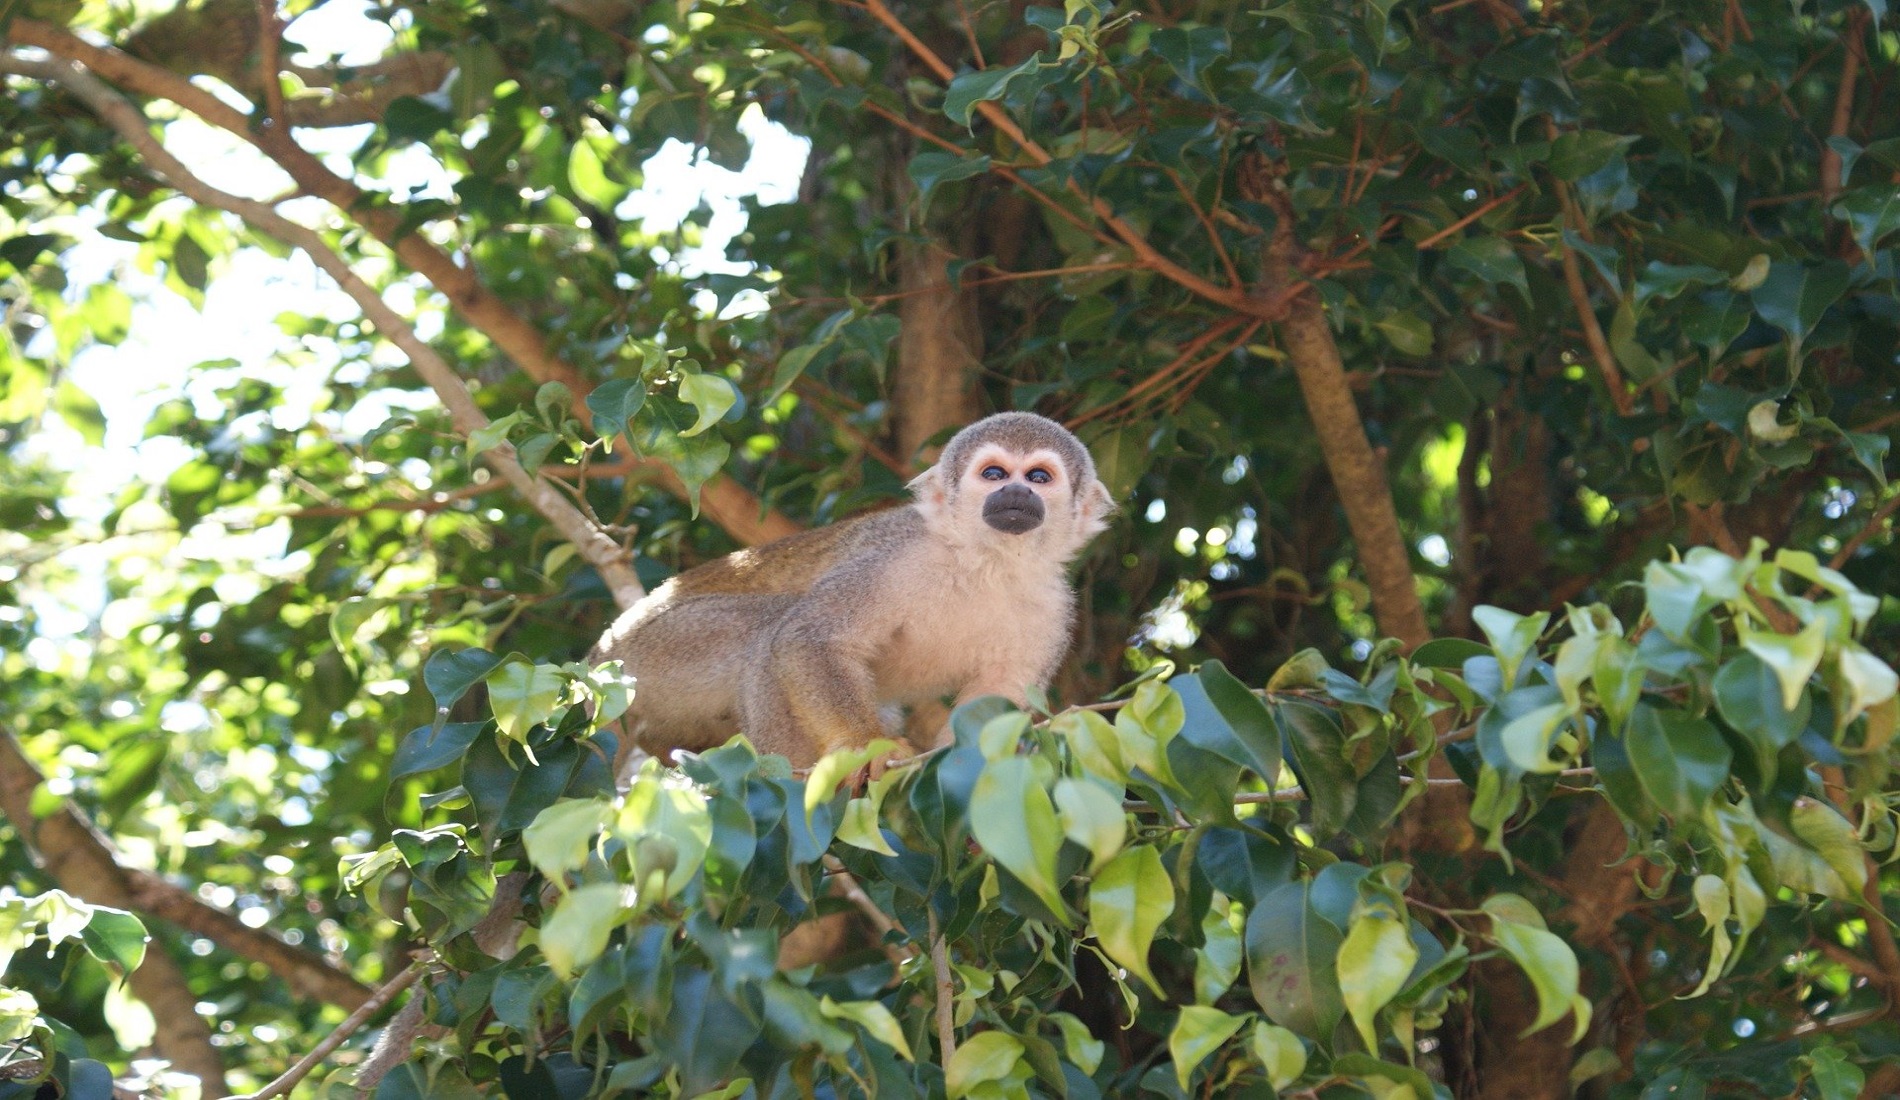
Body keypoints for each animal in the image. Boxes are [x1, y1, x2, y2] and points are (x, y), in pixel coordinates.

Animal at [596, 410, 1109, 767]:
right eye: (995, 475)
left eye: (1039, 477)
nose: (1017, 493)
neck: (987, 564)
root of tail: (601, 653)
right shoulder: (896, 559)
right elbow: (809, 637)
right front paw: (867, 747)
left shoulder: (1054, 610)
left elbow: (995, 695)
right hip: (654, 656)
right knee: (769, 627)